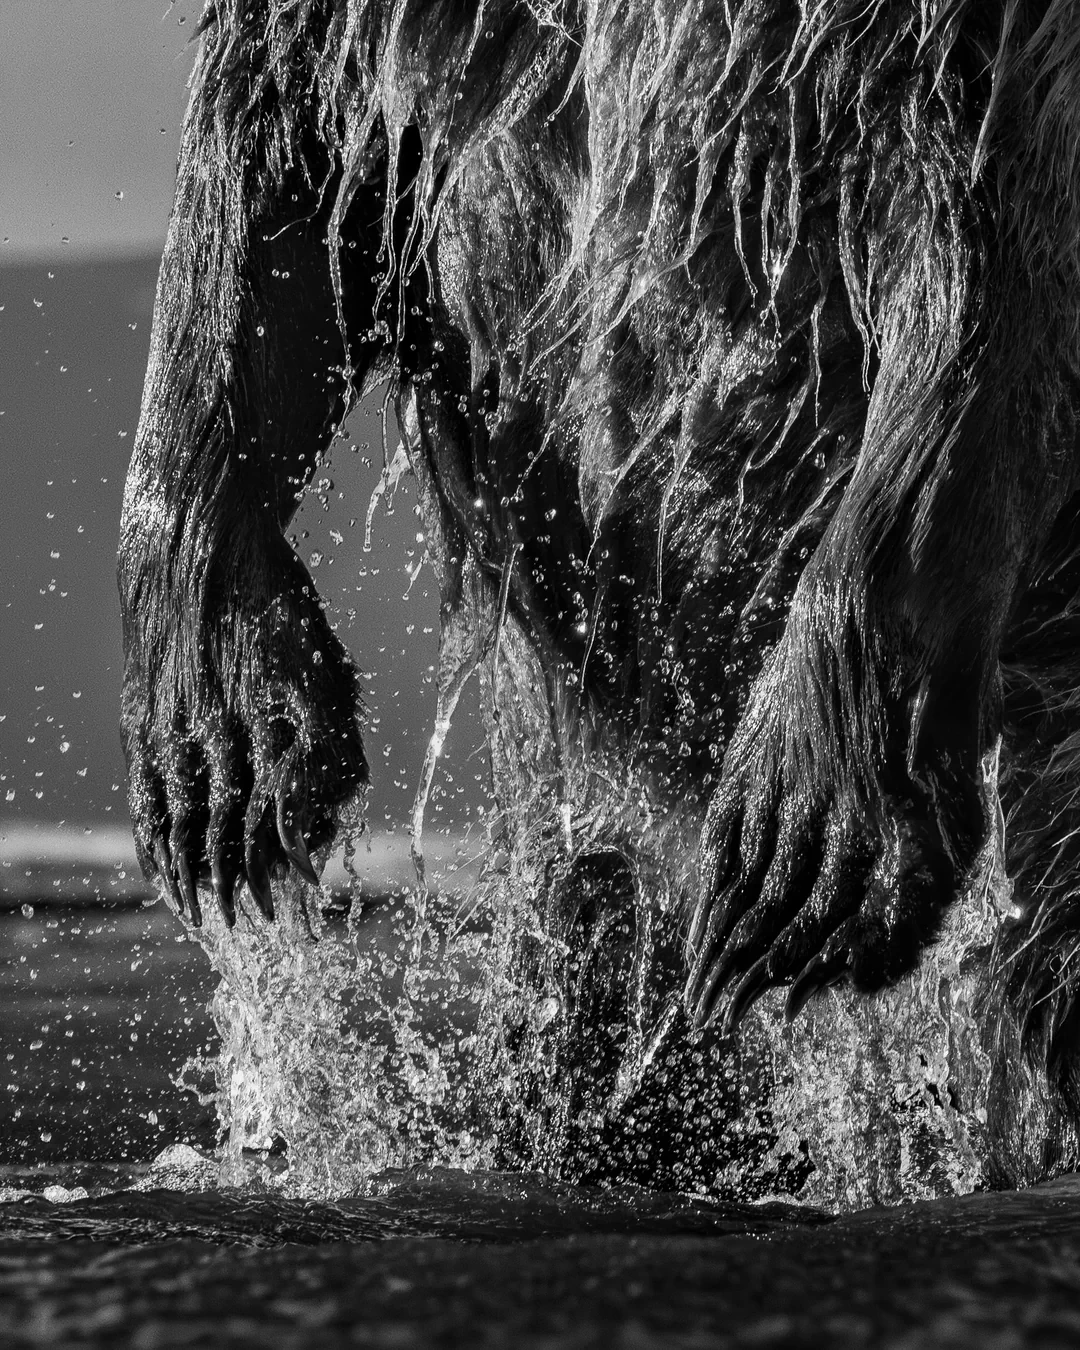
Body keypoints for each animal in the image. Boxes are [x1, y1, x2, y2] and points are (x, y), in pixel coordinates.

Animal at [119, 0, 1080, 1183]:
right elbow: (278, 166)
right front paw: (225, 759)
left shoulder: (933, 71)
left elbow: (974, 274)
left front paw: (804, 846)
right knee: (596, 946)